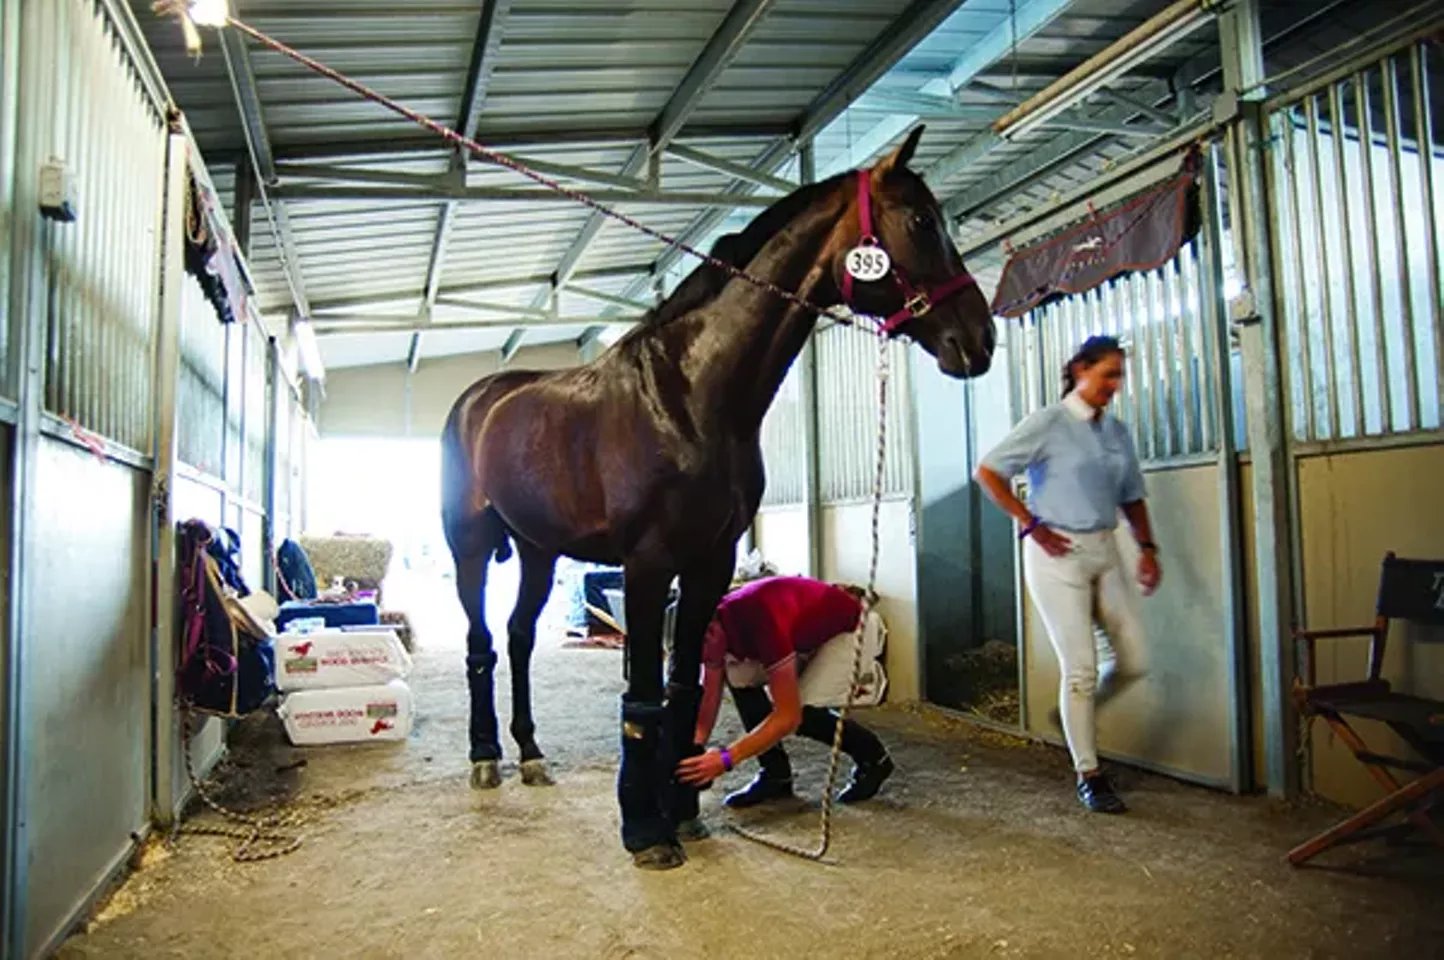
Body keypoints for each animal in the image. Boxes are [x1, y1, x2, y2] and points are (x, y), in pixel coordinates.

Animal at [439, 125, 996, 870]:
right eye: (920, 221)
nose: (980, 339)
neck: (693, 394)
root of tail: (479, 399)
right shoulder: (648, 567)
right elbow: (643, 697)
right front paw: (645, 831)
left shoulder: (709, 561)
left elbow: (683, 689)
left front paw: (681, 809)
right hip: (471, 548)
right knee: (481, 643)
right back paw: (484, 757)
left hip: (537, 551)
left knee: (521, 636)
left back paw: (529, 753)